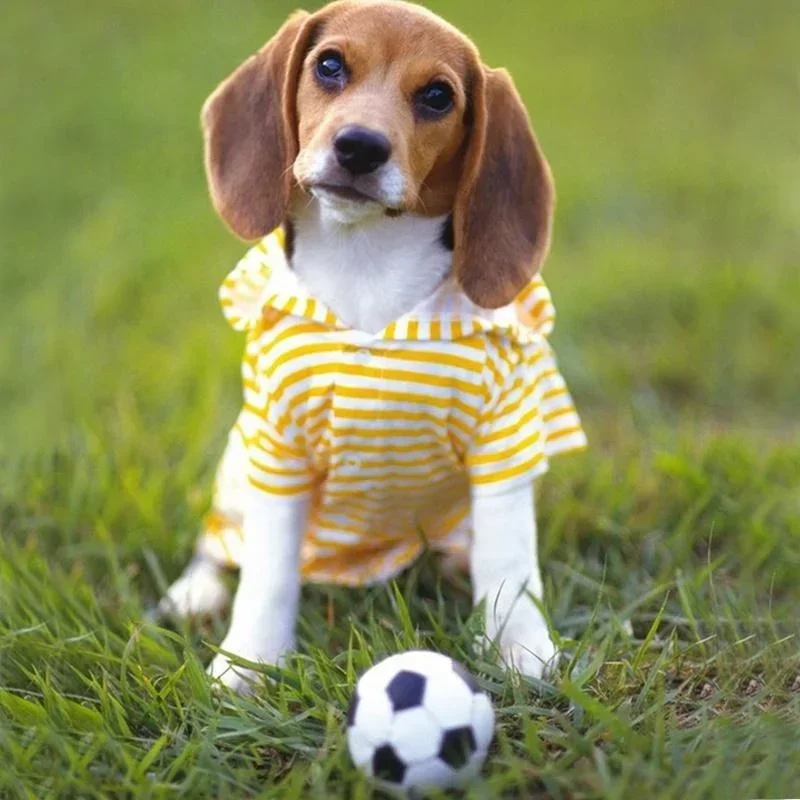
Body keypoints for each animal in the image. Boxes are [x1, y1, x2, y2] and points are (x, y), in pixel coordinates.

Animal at [161, 0, 588, 692]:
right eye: (330, 65)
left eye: (438, 96)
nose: (360, 146)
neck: (366, 261)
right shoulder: (278, 448)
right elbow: (267, 573)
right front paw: (248, 662)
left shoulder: (503, 444)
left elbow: (510, 566)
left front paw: (523, 651)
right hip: (236, 464)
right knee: (220, 544)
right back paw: (194, 592)